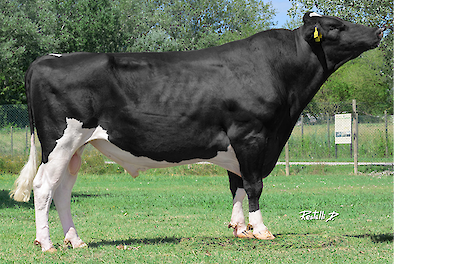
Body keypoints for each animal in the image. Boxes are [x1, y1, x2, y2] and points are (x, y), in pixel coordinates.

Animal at [10, 12, 386, 252]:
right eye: (336, 26)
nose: (378, 31)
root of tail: (48, 58)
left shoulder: (241, 144)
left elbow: (236, 183)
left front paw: (240, 229)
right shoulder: (251, 134)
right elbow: (254, 184)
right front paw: (262, 230)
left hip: (76, 147)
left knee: (62, 190)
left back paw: (76, 241)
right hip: (61, 140)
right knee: (43, 187)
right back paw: (47, 244)